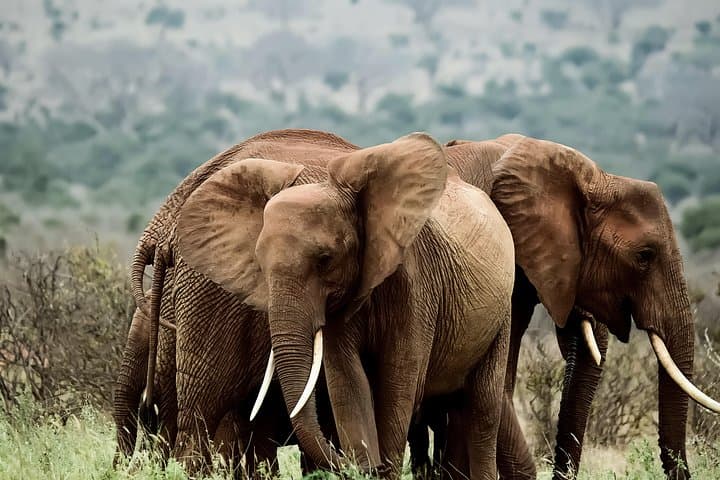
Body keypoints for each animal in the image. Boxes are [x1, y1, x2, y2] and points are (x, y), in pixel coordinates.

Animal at [174, 133, 517, 479]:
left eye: (325, 259)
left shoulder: (416, 285)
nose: (364, 464)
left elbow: (398, 385)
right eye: (259, 263)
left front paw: (381, 466)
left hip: (503, 310)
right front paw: (365, 463)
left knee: (483, 408)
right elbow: (348, 382)